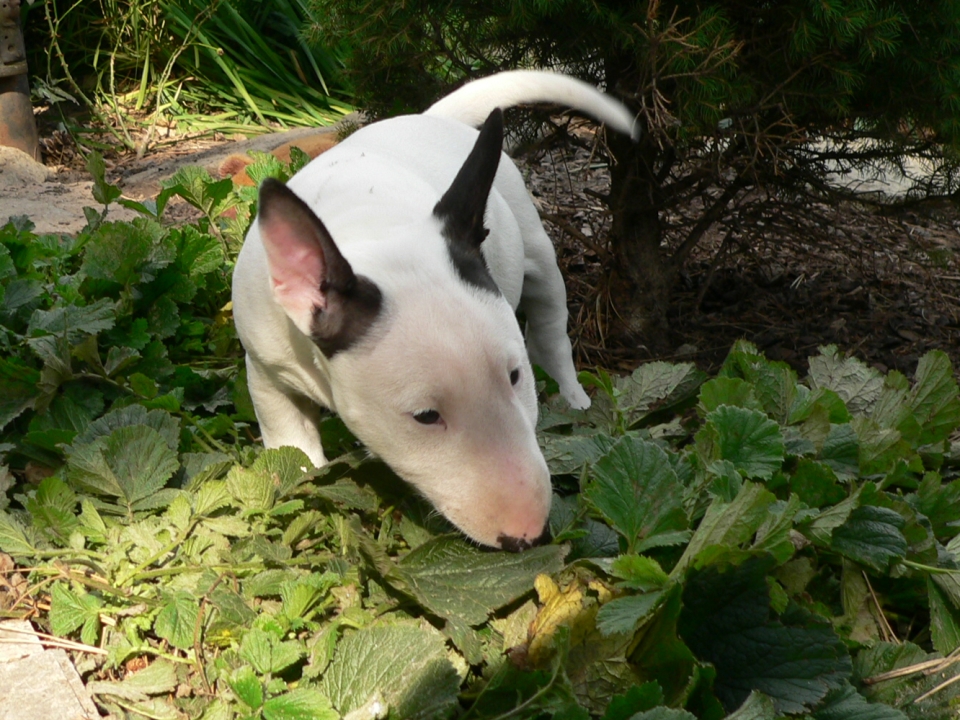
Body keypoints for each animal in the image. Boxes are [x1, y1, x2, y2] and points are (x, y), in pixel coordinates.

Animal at [232, 71, 637, 550]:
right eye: (426, 416)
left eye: (515, 376)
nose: (530, 536)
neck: (369, 226)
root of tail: (431, 116)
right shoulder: (266, 368)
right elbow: (291, 445)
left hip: (536, 247)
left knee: (551, 331)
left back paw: (575, 399)